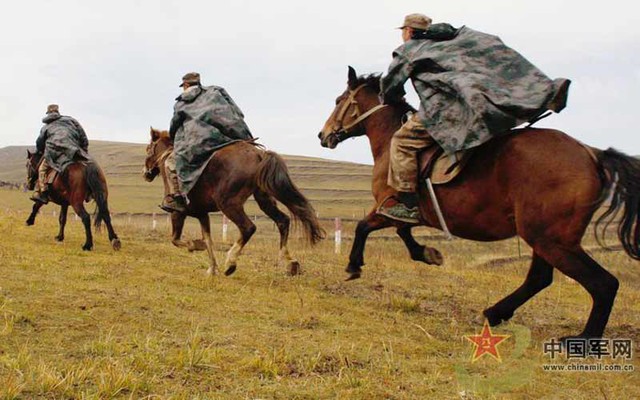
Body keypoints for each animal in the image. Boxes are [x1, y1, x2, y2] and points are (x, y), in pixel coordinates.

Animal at [144, 127, 324, 276]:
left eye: (148, 149)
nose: (146, 173)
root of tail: (259, 155)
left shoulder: (178, 212)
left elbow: (176, 239)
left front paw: (195, 245)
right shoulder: (202, 214)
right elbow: (208, 240)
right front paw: (212, 268)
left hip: (229, 204)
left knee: (248, 227)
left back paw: (230, 262)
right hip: (263, 199)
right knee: (283, 221)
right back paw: (289, 262)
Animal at [318, 67, 640, 340]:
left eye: (338, 100)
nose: (323, 135)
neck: (390, 142)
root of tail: (591, 154)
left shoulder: (389, 207)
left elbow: (363, 227)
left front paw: (353, 265)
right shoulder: (408, 213)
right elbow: (403, 233)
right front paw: (428, 253)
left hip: (551, 239)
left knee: (603, 283)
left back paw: (584, 339)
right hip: (544, 238)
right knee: (540, 278)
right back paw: (496, 313)